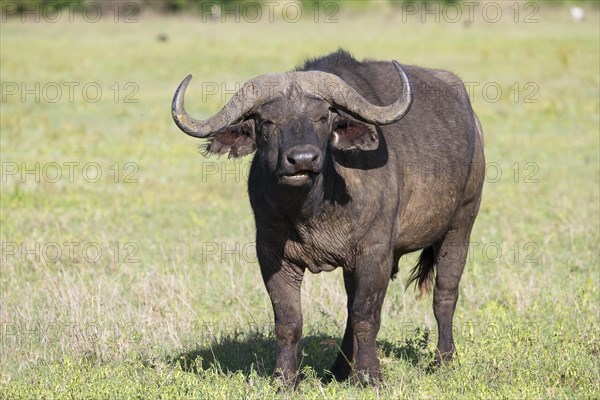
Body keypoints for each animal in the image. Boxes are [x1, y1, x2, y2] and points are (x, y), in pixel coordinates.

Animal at [171, 48, 486, 386]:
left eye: (323, 118)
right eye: (267, 121)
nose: (302, 159)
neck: (312, 209)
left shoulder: (375, 254)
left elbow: (366, 316)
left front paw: (370, 376)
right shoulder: (273, 256)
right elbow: (289, 321)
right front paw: (285, 379)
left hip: (461, 225)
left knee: (445, 295)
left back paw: (444, 360)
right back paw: (340, 369)